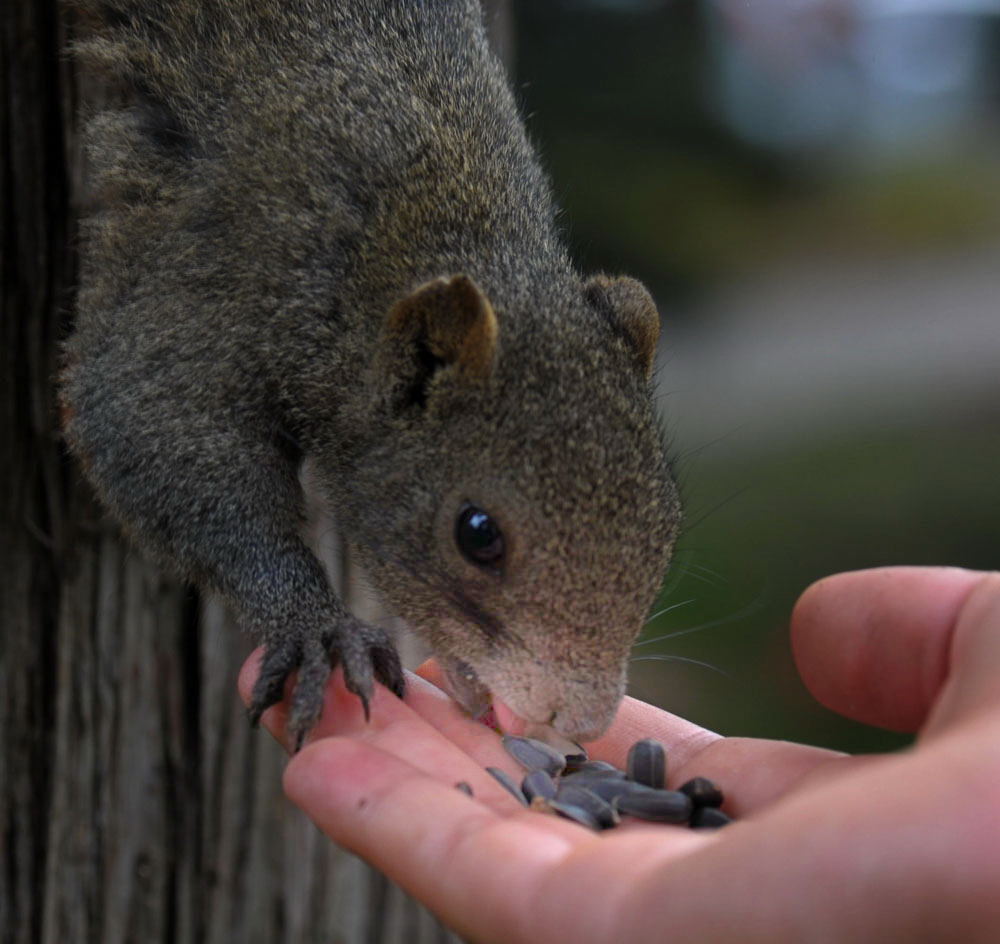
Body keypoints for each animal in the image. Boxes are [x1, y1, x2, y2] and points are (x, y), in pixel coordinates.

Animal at [60, 3, 680, 748]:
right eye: (477, 533)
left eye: (670, 517)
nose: (580, 722)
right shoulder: (221, 256)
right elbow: (146, 418)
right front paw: (313, 624)